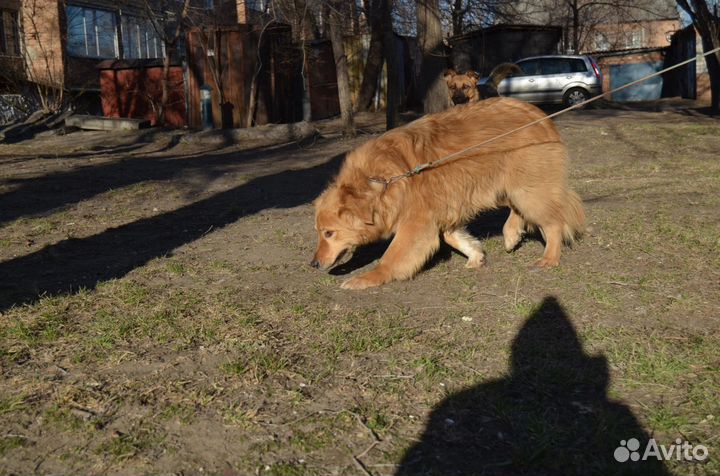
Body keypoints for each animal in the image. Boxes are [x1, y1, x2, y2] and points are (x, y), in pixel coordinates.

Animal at [310, 97, 584, 290]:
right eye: (320, 232)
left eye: (329, 233)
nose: (313, 264)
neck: (382, 180)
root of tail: (541, 116)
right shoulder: (442, 211)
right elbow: (453, 237)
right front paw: (475, 255)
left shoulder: (416, 224)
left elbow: (391, 257)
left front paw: (366, 278)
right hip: (512, 186)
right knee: (520, 210)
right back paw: (511, 235)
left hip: (528, 189)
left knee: (553, 223)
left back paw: (549, 257)